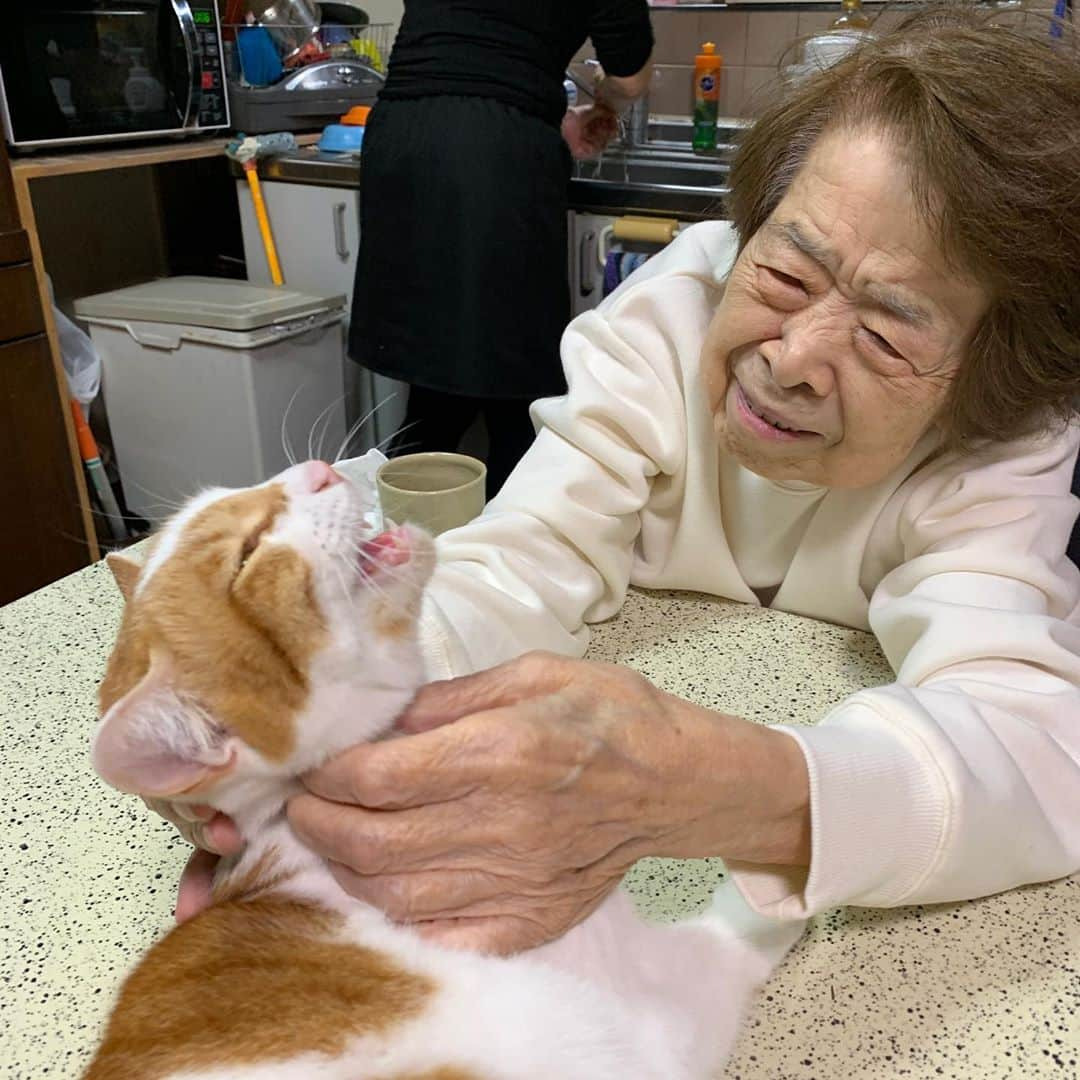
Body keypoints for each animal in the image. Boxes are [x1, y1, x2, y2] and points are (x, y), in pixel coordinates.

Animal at [86, 462, 803, 1080]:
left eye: (235, 492)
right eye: (248, 553)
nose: (317, 468)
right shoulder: (670, 1006)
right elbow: (741, 927)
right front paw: (783, 884)